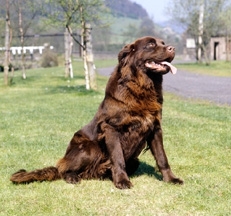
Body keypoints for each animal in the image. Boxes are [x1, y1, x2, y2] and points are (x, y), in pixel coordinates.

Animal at [10, 36, 183, 188]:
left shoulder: (155, 128)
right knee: (63, 169)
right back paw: (72, 177)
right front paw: (122, 181)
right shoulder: (111, 128)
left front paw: (171, 179)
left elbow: (162, 158)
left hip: (133, 160)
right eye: (150, 45)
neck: (141, 87)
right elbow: (118, 158)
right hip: (90, 148)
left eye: (163, 43)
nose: (173, 48)